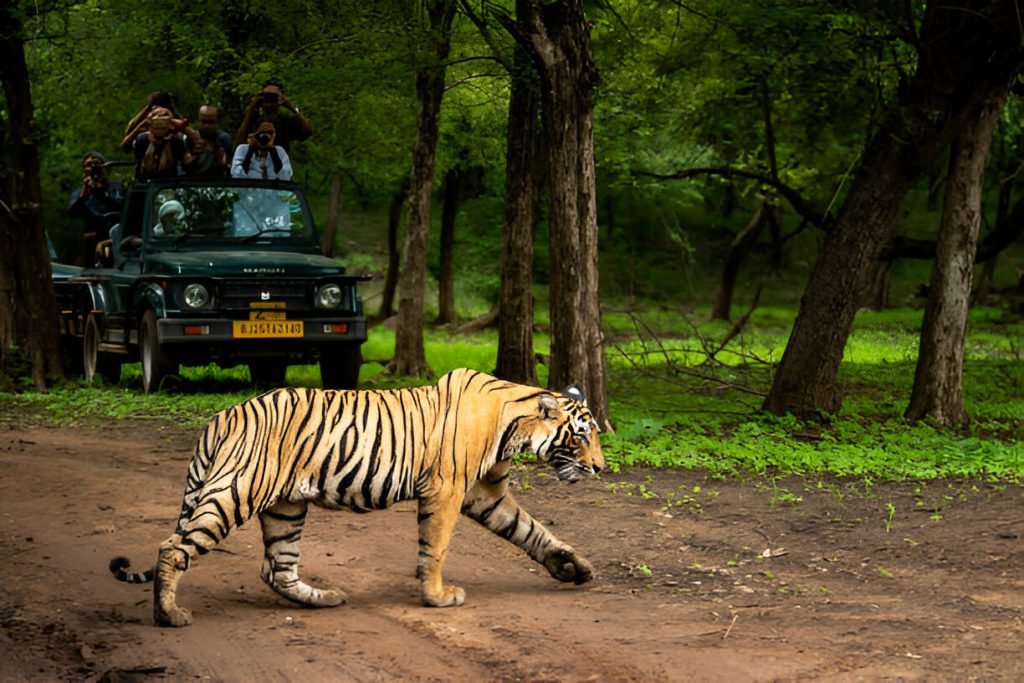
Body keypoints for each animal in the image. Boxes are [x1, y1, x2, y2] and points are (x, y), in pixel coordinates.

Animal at [109, 368, 605, 627]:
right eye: (581, 436)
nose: (600, 467)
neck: (514, 427)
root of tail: (221, 415)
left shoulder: (484, 494)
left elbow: (532, 531)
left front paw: (573, 567)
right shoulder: (447, 490)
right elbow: (437, 548)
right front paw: (437, 597)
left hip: (285, 506)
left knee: (276, 568)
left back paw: (324, 599)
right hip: (236, 491)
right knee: (173, 547)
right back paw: (170, 614)